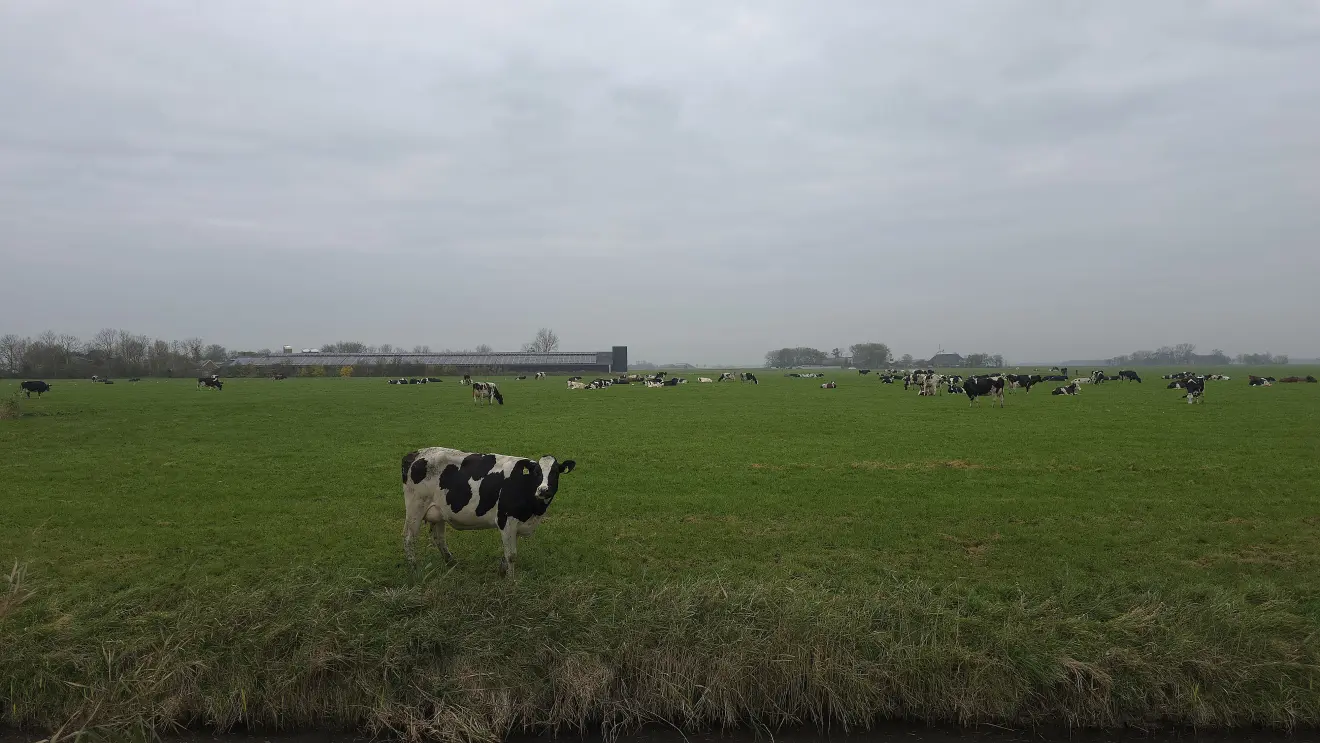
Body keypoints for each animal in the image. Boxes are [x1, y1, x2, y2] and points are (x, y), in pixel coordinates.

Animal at [401, 446, 578, 578]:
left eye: (555, 472)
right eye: (537, 472)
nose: (543, 490)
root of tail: (416, 453)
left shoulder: (516, 524)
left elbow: (507, 553)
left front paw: (502, 572)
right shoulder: (506, 520)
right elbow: (511, 555)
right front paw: (512, 581)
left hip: (438, 512)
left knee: (439, 538)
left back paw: (452, 563)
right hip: (415, 507)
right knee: (409, 538)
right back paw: (415, 569)